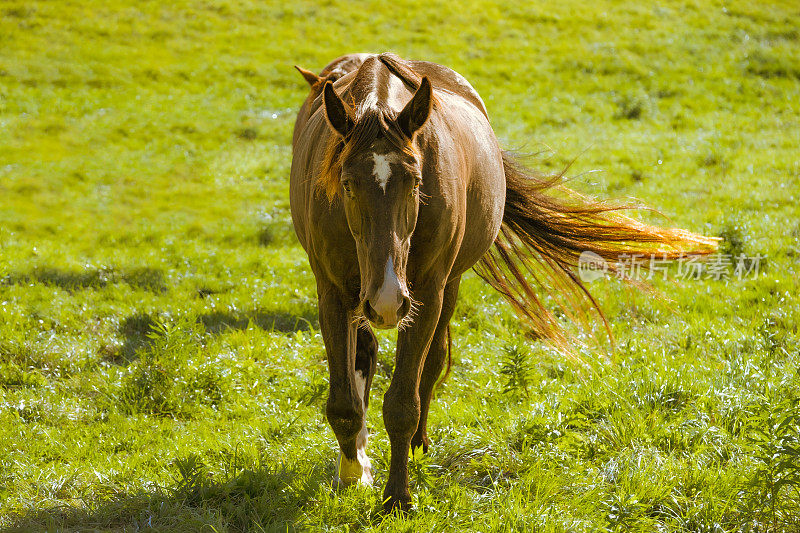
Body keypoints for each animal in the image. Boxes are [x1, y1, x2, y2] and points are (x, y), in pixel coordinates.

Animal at [290, 54, 716, 512]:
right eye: (347, 184)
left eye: (416, 182)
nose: (387, 299)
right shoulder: (334, 294)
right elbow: (344, 402)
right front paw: (354, 471)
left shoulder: (425, 292)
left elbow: (402, 402)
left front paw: (397, 498)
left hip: (443, 288)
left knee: (431, 362)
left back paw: (419, 444)